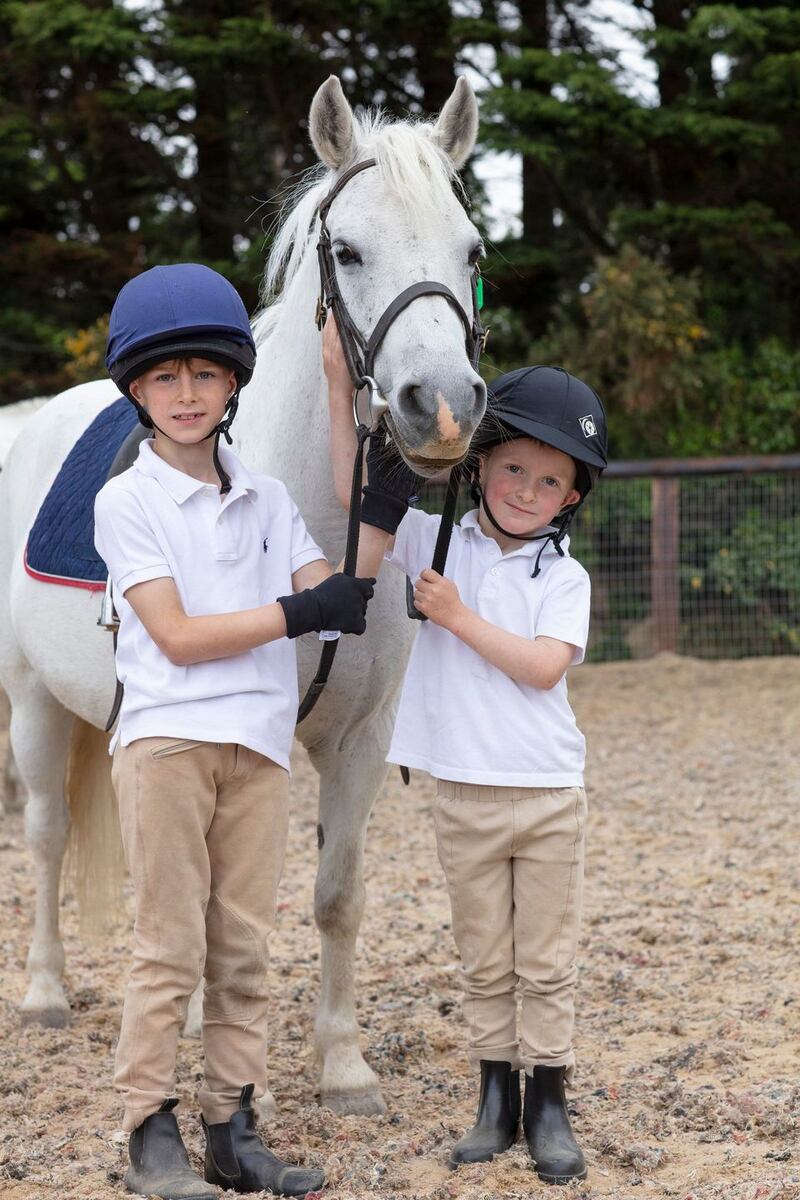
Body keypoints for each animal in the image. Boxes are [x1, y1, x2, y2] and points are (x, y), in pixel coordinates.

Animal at [0, 74, 487, 1116]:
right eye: (348, 251)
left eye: (470, 250)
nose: (441, 407)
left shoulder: (359, 740)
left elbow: (335, 894)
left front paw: (342, 1066)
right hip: (33, 701)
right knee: (49, 835)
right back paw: (47, 993)